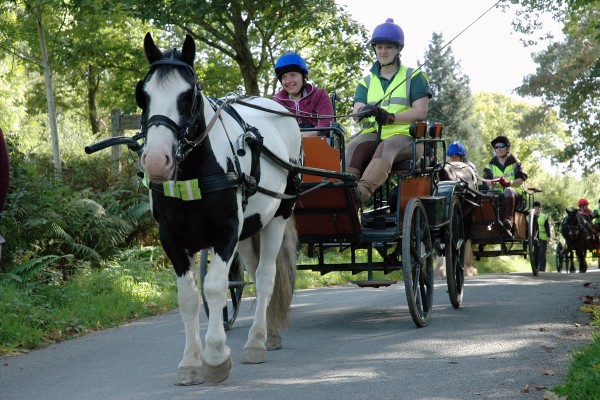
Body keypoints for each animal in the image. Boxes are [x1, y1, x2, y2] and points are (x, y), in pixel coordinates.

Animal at [138, 32, 302, 382]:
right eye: (142, 94)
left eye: (188, 95)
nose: (156, 161)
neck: (194, 174)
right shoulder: (172, 238)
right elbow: (189, 297)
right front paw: (190, 361)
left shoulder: (225, 232)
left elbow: (215, 287)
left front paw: (215, 357)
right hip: (249, 229)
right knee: (252, 272)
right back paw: (267, 334)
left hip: (278, 216)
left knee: (265, 277)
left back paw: (257, 342)